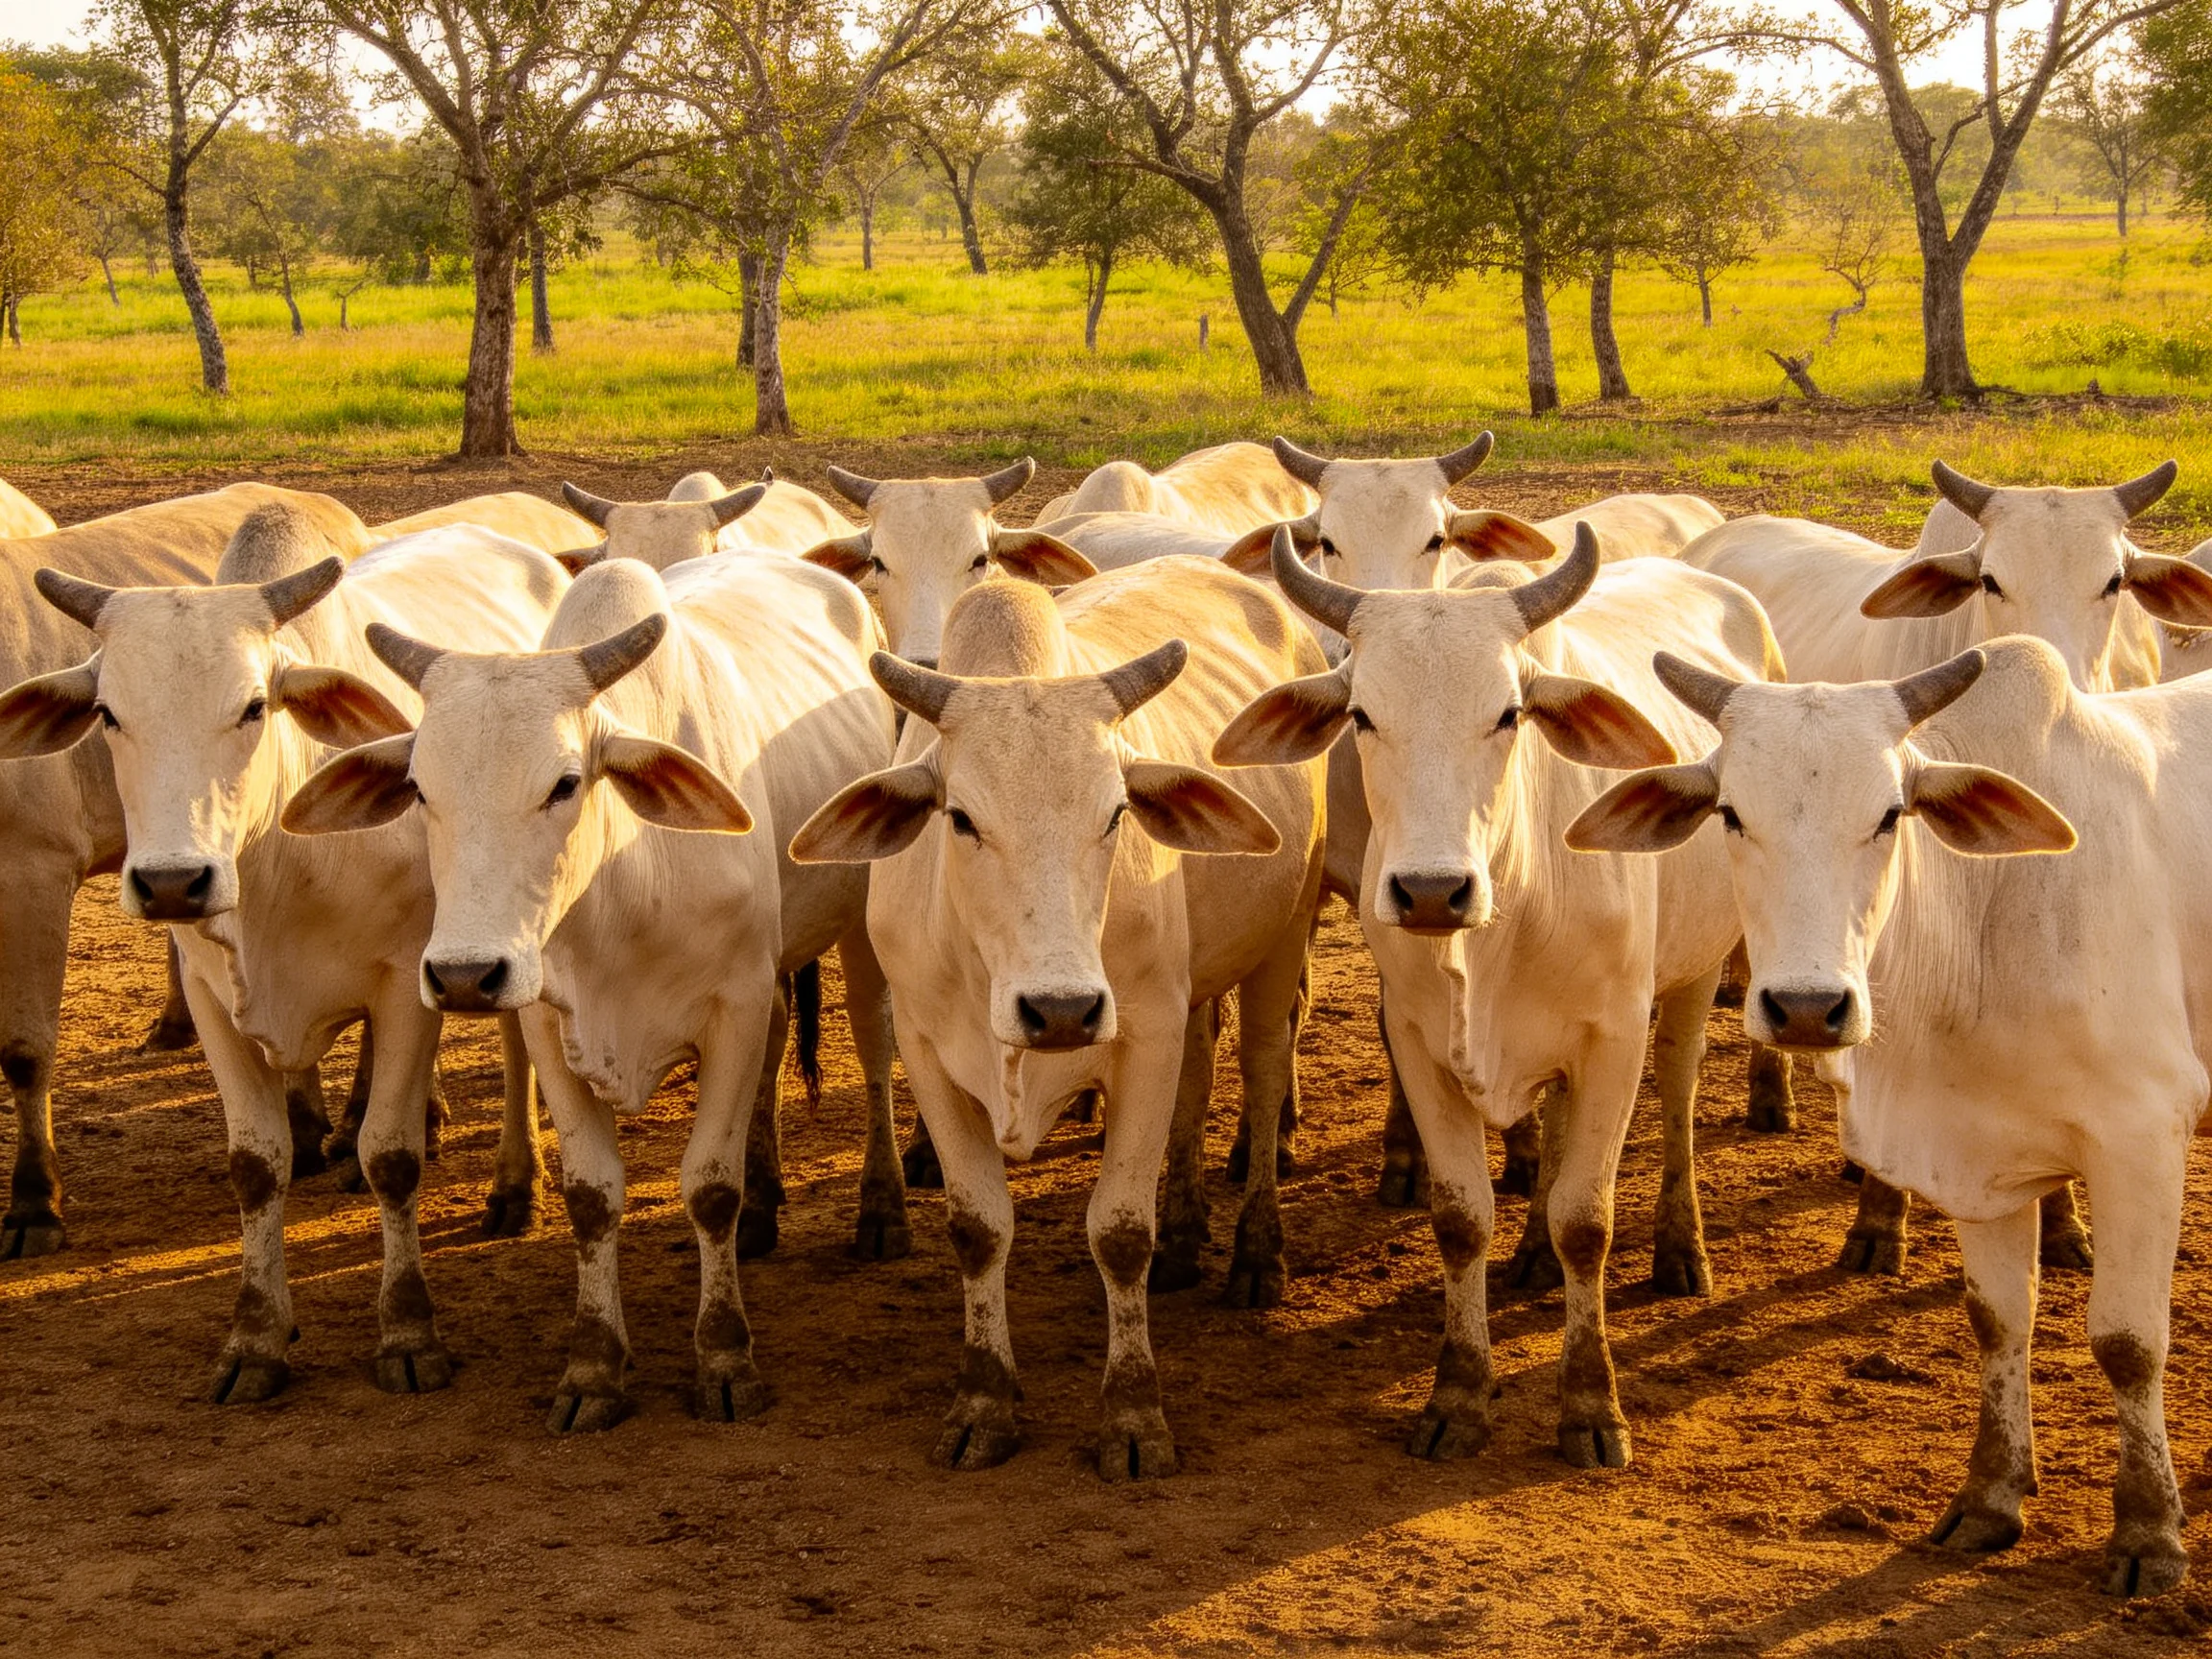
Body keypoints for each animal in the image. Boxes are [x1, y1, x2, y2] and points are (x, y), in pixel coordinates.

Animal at [283, 551, 904, 1430]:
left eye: (565, 783)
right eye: (419, 789)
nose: (463, 974)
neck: (624, 876)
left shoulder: (734, 1007)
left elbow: (709, 1187)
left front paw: (724, 1357)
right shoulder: (554, 1023)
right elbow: (592, 1196)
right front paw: (594, 1366)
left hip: (856, 918)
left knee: (875, 1046)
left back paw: (881, 1208)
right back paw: (765, 1208)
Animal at [789, 557, 1324, 1476]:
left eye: (1116, 813)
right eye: (960, 818)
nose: (1062, 1010)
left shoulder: (1141, 1034)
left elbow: (1119, 1231)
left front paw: (1134, 1414)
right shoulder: (928, 1055)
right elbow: (977, 1229)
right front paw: (984, 1400)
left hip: (1282, 933)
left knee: (1259, 1069)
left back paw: (1256, 1255)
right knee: (1202, 1070)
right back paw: (1186, 1238)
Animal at [1214, 529, 1779, 1468]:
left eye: (1510, 714)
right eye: (1362, 716)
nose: (1431, 892)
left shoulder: (1612, 1040)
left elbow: (1588, 1219)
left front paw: (1590, 1406)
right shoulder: (1419, 1043)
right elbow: (1461, 1218)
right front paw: (1459, 1392)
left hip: (1696, 972)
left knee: (1681, 1089)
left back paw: (1679, 1247)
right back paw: (1534, 1255)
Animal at [1567, 638, 2200, 1598]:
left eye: (1891, 815)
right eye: (1730, 814)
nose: (1805, 1007)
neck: (1989, 918)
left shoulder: (2145, 1140)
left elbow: (2128, 1342)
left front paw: (2149, 1533)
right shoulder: (1978, 1152)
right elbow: (1999, 1319)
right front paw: (1991, 1498)